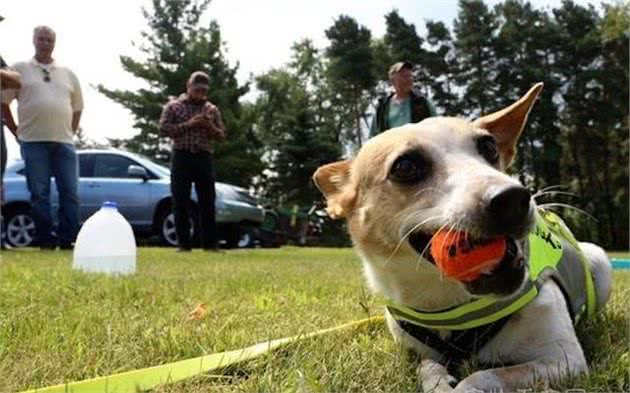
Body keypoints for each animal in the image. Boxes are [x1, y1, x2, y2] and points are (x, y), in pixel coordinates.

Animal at [314, 83, 612, 392]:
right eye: (405, 167)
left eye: (490, 147)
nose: (513, 199)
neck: (446, 301)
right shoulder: (416, 352)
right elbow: (427, 367)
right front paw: (439, 381)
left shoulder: (563, 358)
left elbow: (483, 375)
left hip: (599, 262)